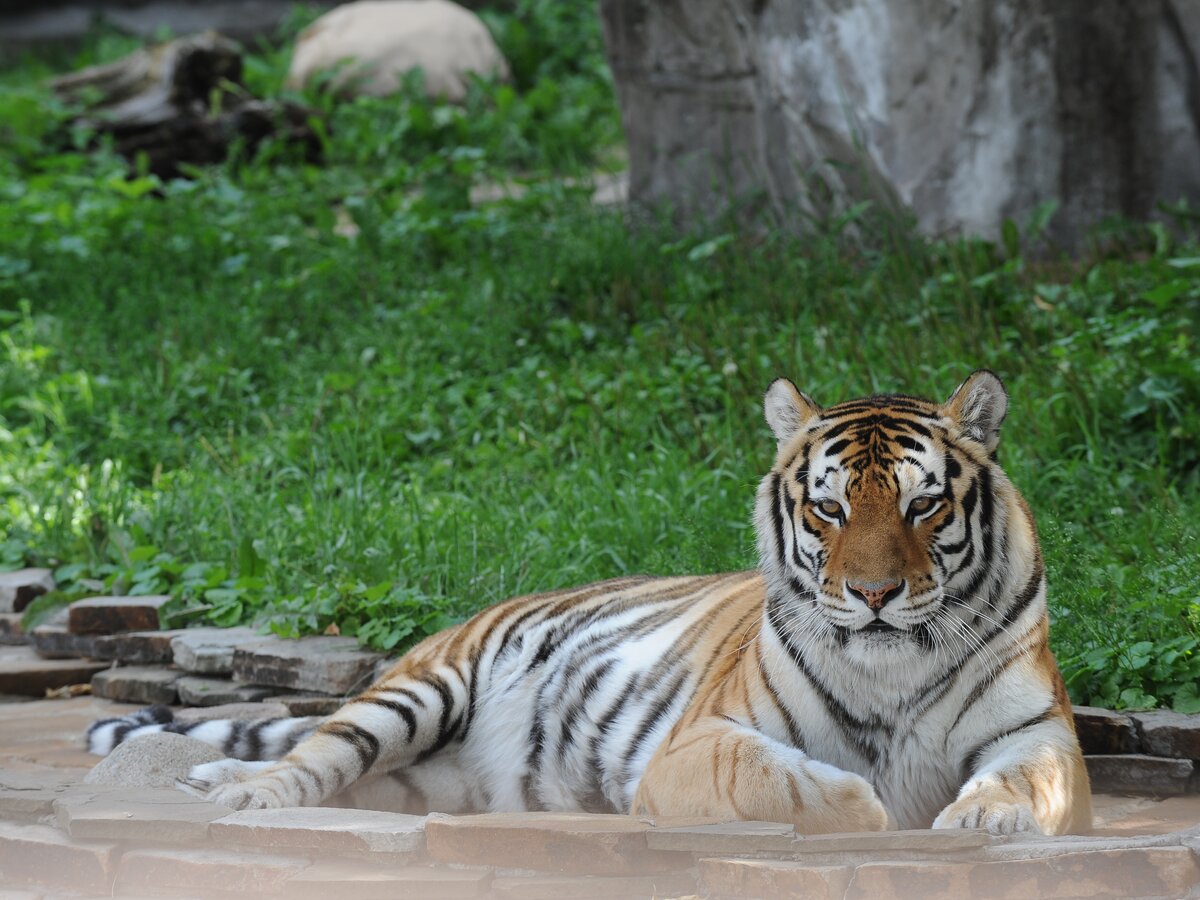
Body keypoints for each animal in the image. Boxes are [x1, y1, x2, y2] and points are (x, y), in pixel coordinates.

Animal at [88, 372, 1094, 840]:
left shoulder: (1040, 736)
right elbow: (778, 776)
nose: (875, 594)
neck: (890, 669)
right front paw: (868, 802)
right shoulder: (700, 744)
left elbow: (1023, 782)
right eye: (830, 508)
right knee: (316, 750)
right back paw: (238, 790)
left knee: (347, 776)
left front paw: (980, 816)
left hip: (431, 781)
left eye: (923, 506)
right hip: (419, 694)